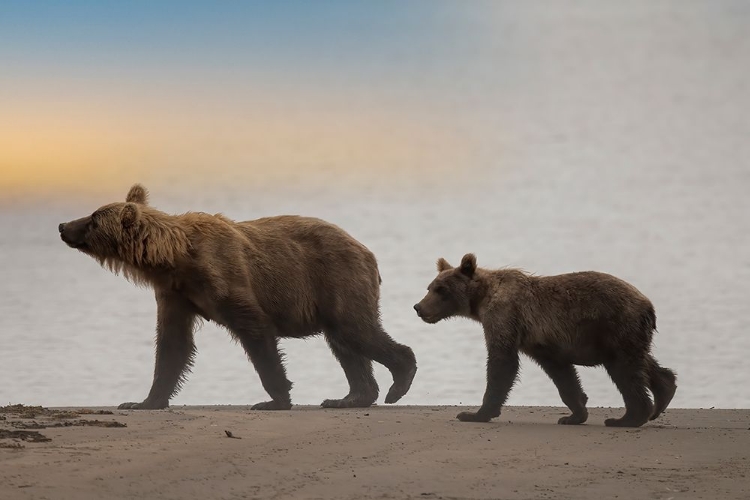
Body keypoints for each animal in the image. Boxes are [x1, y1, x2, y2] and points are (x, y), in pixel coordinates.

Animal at [60, 184, 418, 410]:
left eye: (93, 218)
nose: (63, 225)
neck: (174, 260)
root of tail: (366, 250)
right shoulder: (176, 294)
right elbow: (173, 344)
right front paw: (143, 401)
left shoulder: (223, 275)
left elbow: (255, 330)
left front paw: (274, 399)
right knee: (345, 344)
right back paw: (349, 397)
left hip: (336, 278)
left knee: (355, 331)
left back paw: (398, 380)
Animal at [414, 254, 680, 426]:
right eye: (430, 287)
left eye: (441, 290)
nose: (418, 307)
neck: (481, 300)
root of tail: (648, 305)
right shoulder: (542, 343)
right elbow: (563, 375)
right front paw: (574, 414)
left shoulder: (505, 317)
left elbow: (502, 363)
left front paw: (475, 413)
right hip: (627, 334)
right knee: (642, 362)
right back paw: (663, 393)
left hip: (615, 327)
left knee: (626, 371)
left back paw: (626, 418)